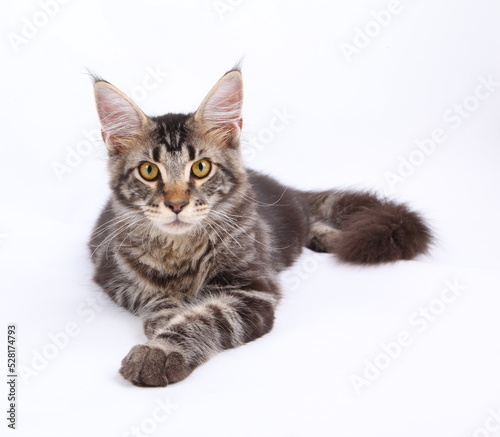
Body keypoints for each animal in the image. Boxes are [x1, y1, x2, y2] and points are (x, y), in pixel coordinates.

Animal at [88, 68, 432, 384]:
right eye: (148, 171)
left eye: (201, 168)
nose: (176, 205)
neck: (180, 249)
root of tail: (285, 188)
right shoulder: (114, 275)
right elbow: (157, 299)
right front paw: (168, 319)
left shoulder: (253, 290)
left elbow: (204, 318)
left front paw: (161, 351)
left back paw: (334, 238)